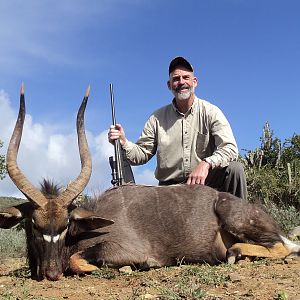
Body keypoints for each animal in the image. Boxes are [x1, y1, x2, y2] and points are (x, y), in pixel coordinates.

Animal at [0, 85, 300, 282]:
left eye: (65, 225)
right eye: (34, 225)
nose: (51, 273)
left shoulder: (121, 249)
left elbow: (78, 261)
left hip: (237, 220)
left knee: (283, 247)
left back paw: (236, 253)